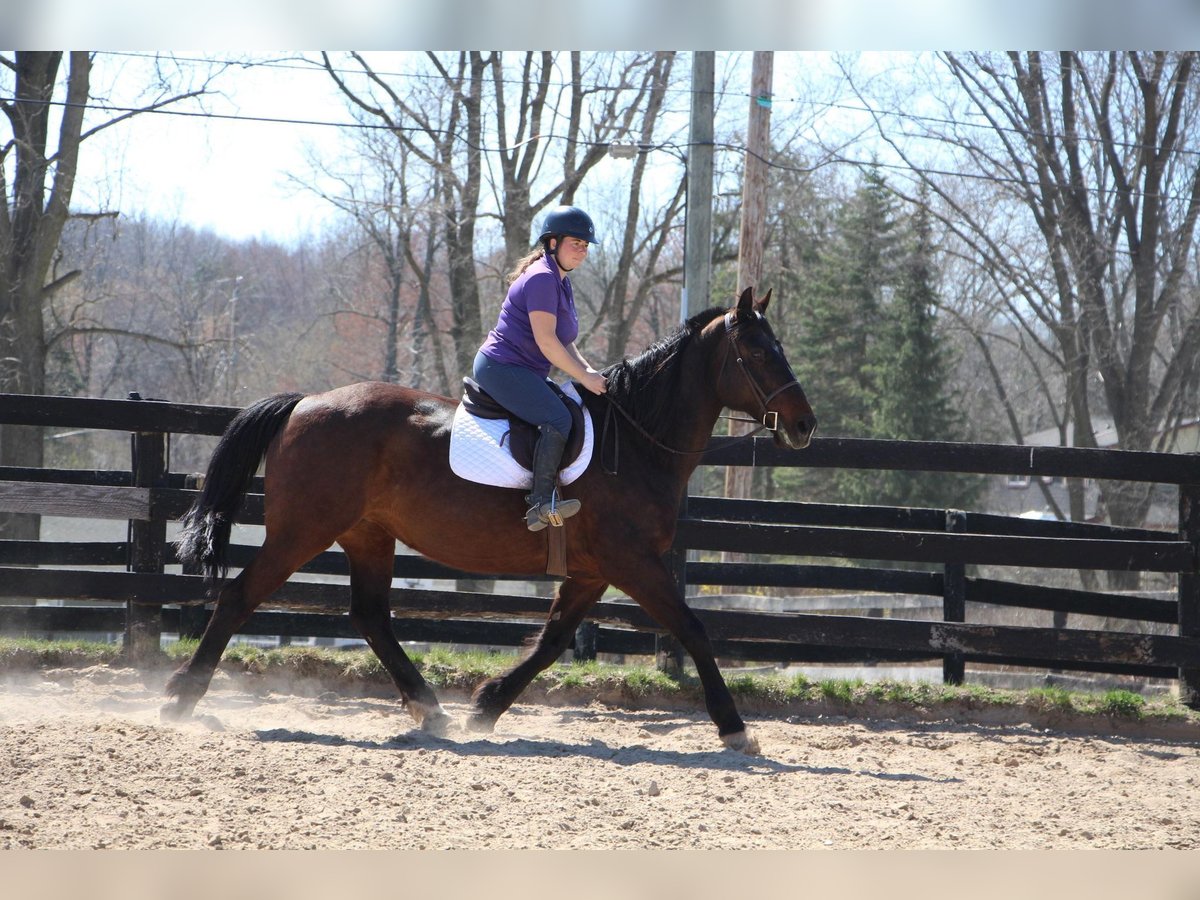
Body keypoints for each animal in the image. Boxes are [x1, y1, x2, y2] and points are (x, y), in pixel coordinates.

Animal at [166, 286, 816, 753]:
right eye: (759, 352)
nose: (804, 425)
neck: (634, 439)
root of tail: (304, 403)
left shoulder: (592, 571)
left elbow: (552, 641)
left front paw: (486, 706)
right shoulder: (633, 562)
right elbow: (693, 628)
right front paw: (734, 728)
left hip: (368, 535)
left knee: (371, 616)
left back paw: (432, 711)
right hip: (303, 531)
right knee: (241, 597)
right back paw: (179, 699)